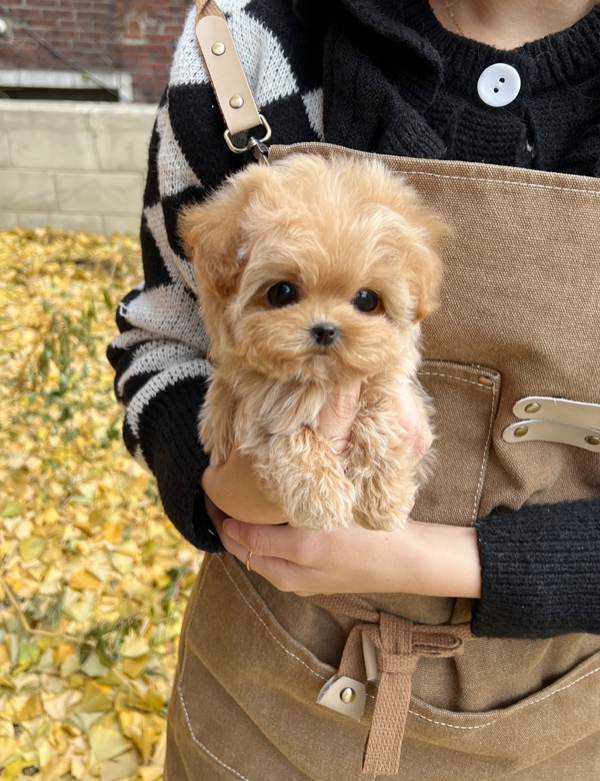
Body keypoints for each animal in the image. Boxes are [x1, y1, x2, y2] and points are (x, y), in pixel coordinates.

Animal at [180, 154, 448, 532]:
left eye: (366, 300)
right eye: (281, 292)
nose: (325, 329)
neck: (316, 381)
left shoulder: (388, 384)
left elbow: (378, 417)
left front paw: (385, 496)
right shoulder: (258, 410)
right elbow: (290, 434)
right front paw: (323, 498)